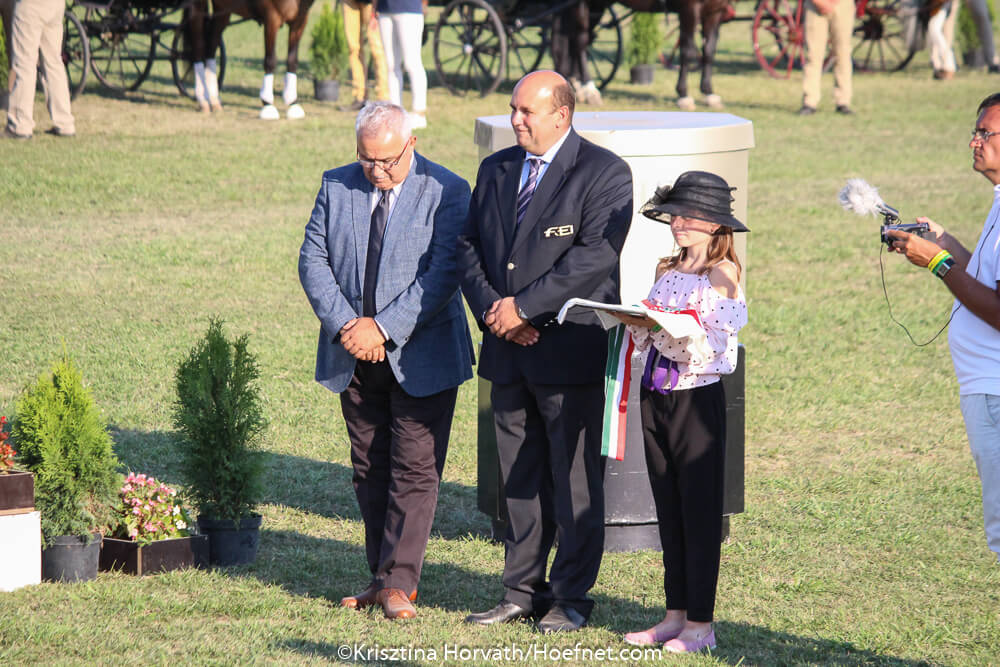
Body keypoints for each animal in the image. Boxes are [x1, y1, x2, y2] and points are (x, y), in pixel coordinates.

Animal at [186, 0, 315, 119]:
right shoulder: (271, 18)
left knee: (211, 47)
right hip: (198, 7)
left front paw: (292, 103)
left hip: (222, 9)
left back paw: (214, 100)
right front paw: (267, 104)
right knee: (198, 47)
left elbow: (292, 60)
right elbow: (270, 60)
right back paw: (203, 100)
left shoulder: (299, 21)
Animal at [554, 0, 731, 110]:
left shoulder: (715, 11)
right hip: (583, 5)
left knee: (579, 40)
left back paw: (577, 86)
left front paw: (709, 93)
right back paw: (590, 89)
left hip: (597, 6)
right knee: (580, 42)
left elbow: (709, 53)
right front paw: (683, 95)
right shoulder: (689, 9)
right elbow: (686, 52)